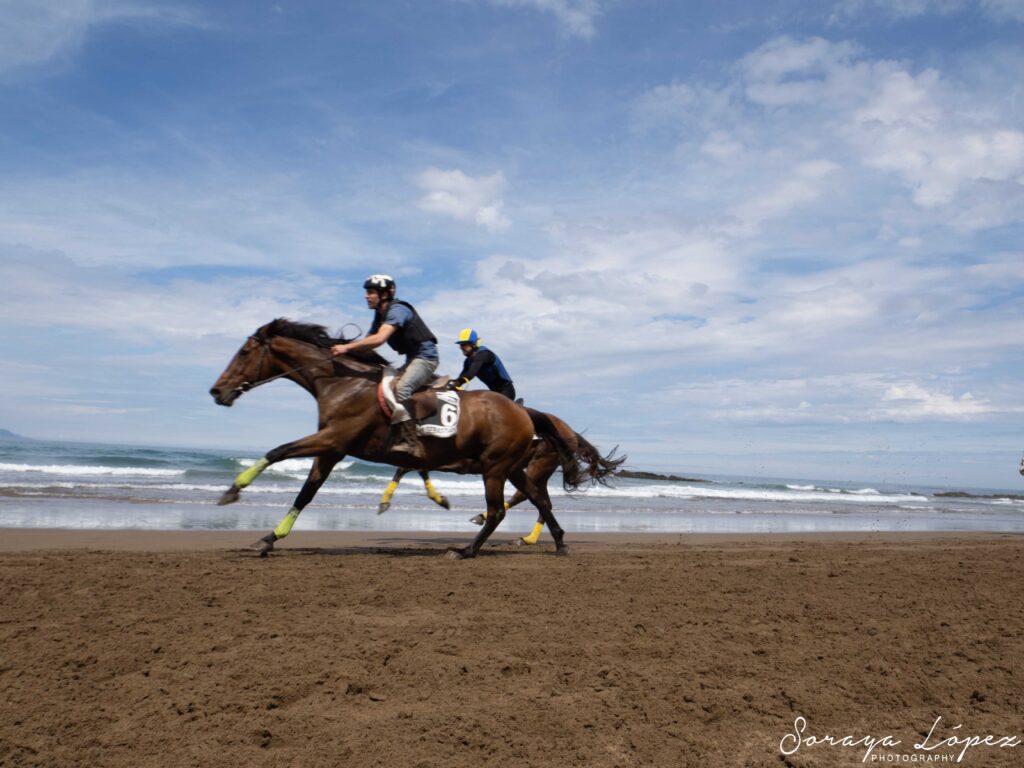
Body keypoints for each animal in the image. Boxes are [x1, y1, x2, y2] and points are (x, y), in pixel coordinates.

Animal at [209, 319, 623, 558]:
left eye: (244, 352)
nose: (217, 391)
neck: (343, 382)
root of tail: (526, 413)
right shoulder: (332, 449)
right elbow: (306, 493)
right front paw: (268, 538)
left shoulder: (331, 439)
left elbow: (277, 450)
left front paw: (233, 491)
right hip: (513, 466)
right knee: (538, 499)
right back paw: (558, 542)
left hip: (497, 468)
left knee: (500, 509)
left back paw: (467, 550)